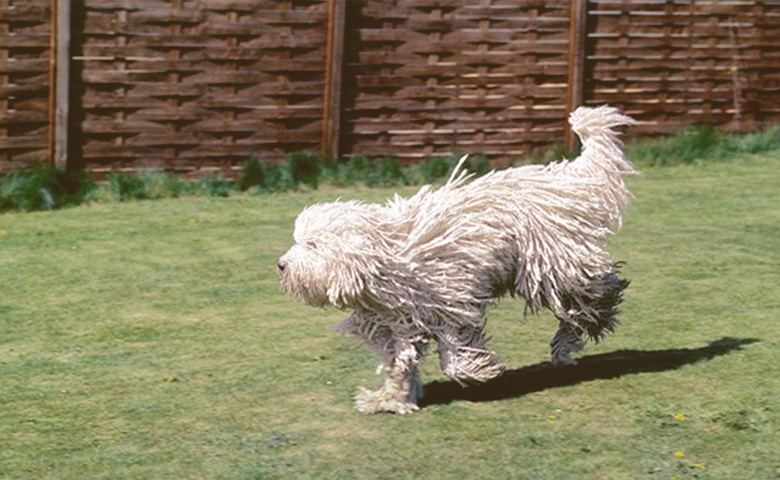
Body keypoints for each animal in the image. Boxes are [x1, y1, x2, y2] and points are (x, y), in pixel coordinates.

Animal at [278, 105, 636, 412]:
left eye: (312, 244)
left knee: (593, 291)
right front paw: (392, 397)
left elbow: (455, 349)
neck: (388, 257)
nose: (281, 265)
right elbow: (400, 359)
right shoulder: (398, 319)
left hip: (553, 265)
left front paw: (478, 370)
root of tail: (565, 180)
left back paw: (594, 316)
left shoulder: (450, 300)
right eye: (298, 240)